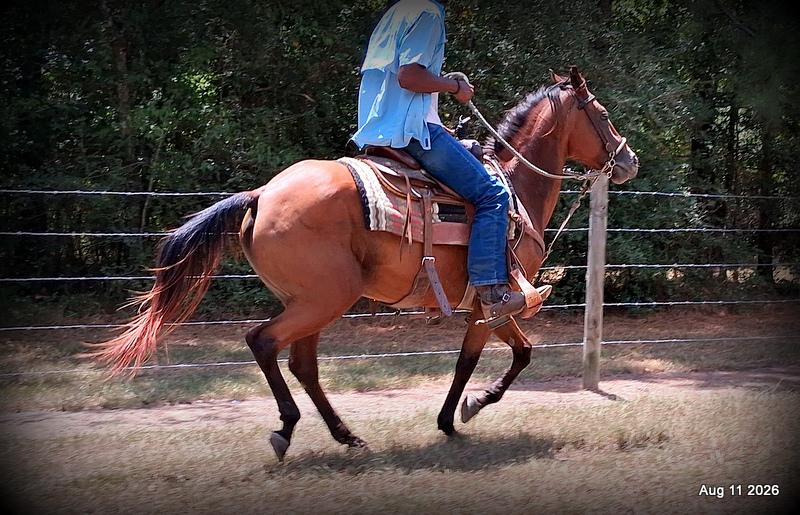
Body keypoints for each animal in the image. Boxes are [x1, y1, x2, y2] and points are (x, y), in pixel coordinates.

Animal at [90, 66, 639, 460]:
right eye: (602, 113)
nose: (629, 160)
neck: (512, 188)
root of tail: (262, 194)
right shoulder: (495, 303)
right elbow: (506, 356)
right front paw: (469, 408)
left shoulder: (481, 310)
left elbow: (485, 358)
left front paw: (454, 416)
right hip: (324, 298)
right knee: (264, 343)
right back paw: (289, 428)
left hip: (309, 301)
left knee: (302, 363)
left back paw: (345, 435)